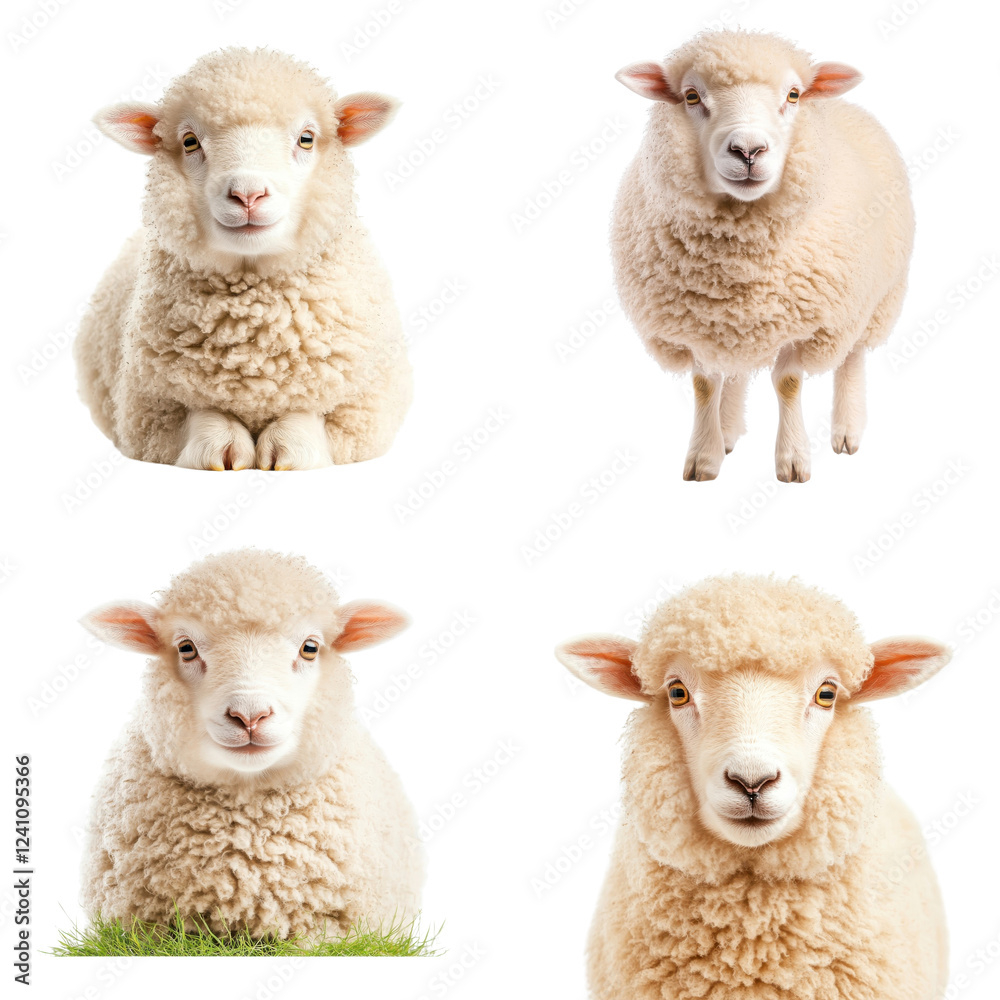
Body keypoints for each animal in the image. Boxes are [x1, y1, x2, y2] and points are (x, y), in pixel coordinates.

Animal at [74, 48, 411, 470]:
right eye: (189, 141)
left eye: (306, 138)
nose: (248, 194)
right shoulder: (147, 411)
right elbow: (201, 416)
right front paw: (223, 444)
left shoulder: (364, 408)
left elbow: (309, 415)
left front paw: (289, 447)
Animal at [611, 31, 914, 482]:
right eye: (691, 96)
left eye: (793, 94)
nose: (748, 150)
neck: (737, 265)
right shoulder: (696, 326)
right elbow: (705, 384)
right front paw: (705, 456)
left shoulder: (810, 322)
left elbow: (788, 382)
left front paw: (792, 459)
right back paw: (728, 430)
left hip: (873, 297)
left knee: (852, 356)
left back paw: (847, 429)